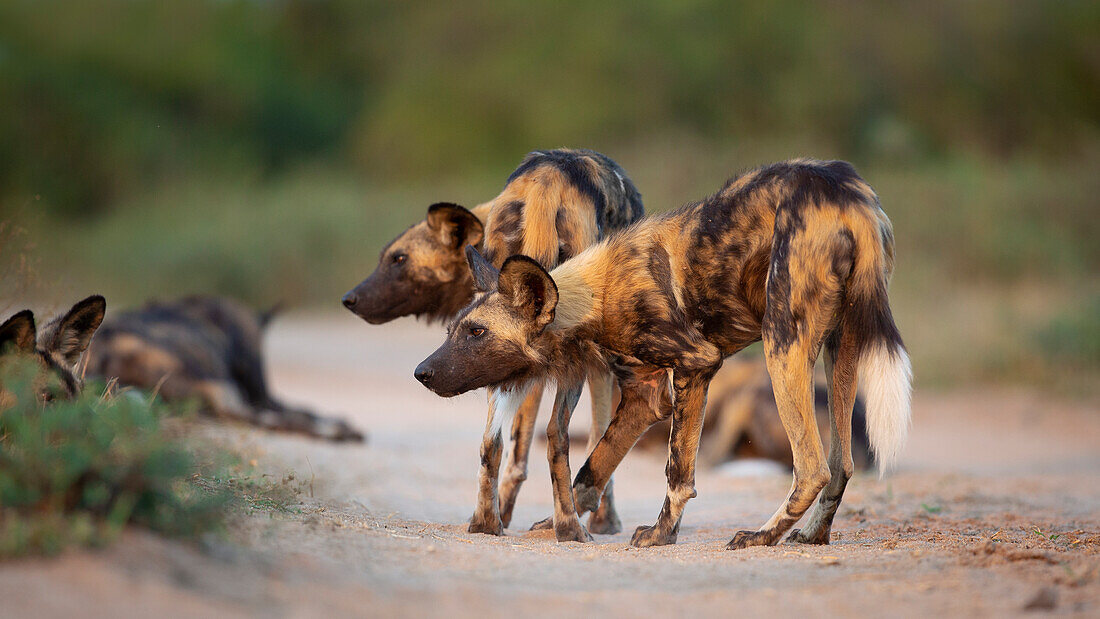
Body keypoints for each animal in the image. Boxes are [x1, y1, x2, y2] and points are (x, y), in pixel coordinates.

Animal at [86, 294, 360, 439]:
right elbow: (306, 409)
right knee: (273, 420)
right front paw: (340, 423)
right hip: (226, 391)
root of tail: (108, 348)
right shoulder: (262, 395)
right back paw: (337, 431)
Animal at [338, 148, 642, 538]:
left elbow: (516, 452)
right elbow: (599, 439)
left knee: (491, 440)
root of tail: (547, 178)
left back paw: (485, 522)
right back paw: (568, 527)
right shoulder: (590, 360)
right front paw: (605, 520)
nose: (349, 299)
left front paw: (505, 512)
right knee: (557, 435)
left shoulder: (517, 358)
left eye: (398, 259)